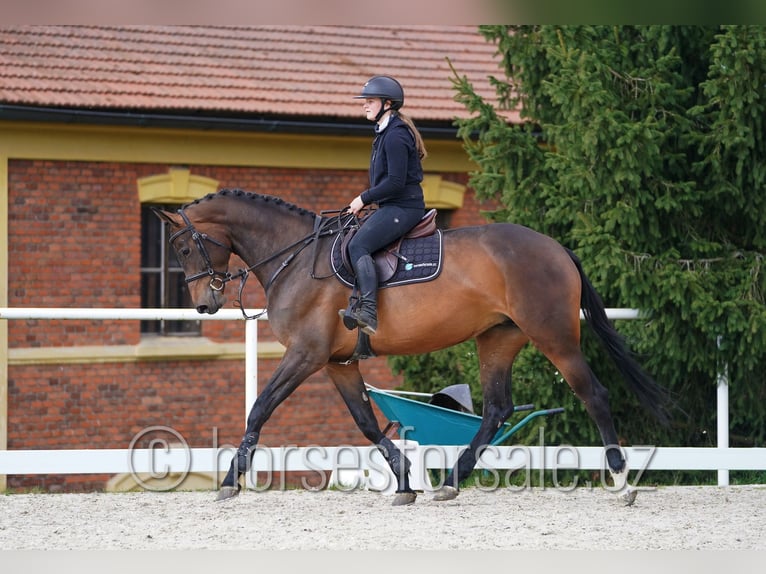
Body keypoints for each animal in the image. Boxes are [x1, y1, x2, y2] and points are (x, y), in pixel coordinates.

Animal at [154, 188, 669, 506]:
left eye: (184, 248)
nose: (204, 305)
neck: (296, 257)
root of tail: (557, 248)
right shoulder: (336, 362)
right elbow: (366, 423)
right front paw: (404, 482)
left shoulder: (306, 355)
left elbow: (259, 409)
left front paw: (229, 483)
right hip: (498, 339)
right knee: (497, 410)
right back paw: (450, 484)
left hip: (553, 336)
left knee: (593, 395)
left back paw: (623, 483)